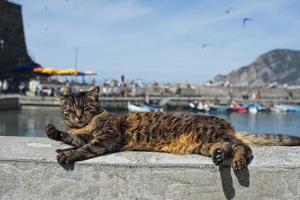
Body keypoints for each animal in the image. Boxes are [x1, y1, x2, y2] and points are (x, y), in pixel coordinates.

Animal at [44, 86, 300, 170]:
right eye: (70, 110)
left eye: (86, 108)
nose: (78, 117)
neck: (88, 124)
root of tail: (226, 124)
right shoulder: (82, 134)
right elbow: (72, 138)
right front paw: (53, 132)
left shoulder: (107, 137)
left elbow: (84, 148)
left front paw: (67, 155)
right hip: (204, 144)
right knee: (226, 146)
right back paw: (219, 155)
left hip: (209, 133)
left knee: (243, 146)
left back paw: (237, 160)